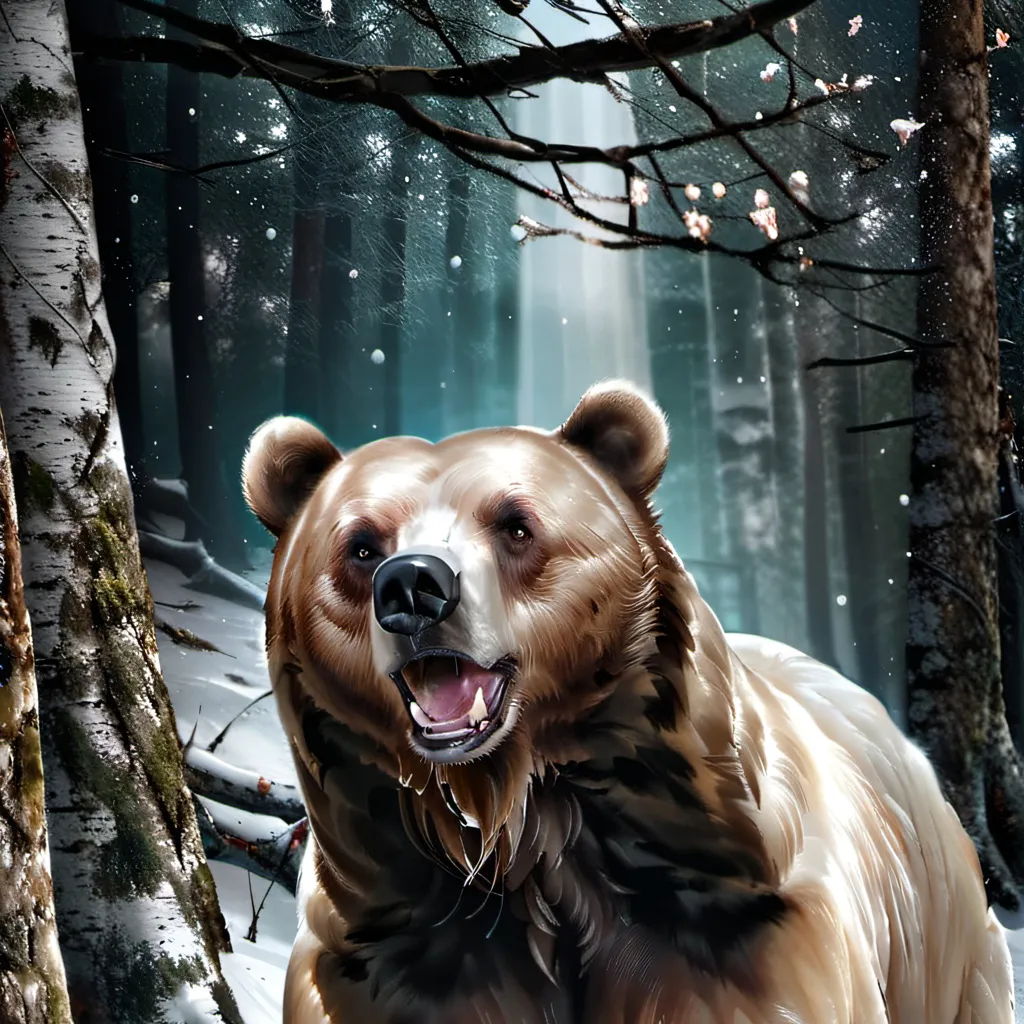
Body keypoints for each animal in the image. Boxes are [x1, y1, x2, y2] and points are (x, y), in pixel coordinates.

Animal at [242, 380, 1014, 1024]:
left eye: (515, 523)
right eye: (361, 545)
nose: (413, 588)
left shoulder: (740, 933)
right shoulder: (397, 951)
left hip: (946, 947)